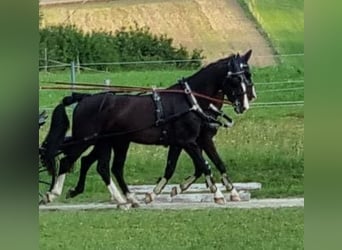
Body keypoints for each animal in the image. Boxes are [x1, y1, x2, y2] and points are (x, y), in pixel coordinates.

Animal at [39, 50, 254, 205]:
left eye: (248, 76)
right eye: (236, 79)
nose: (245, 104)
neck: (190, 100)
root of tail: (83, 97)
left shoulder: (195, 141)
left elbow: (212, 164)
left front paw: (232, 192)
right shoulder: (188, 142)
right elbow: (204, 166)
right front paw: (218, 195)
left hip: (112, 142)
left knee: (102, 166)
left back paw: (125, 198)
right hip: (87, 139)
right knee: (70, 162)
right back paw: (54, 194)